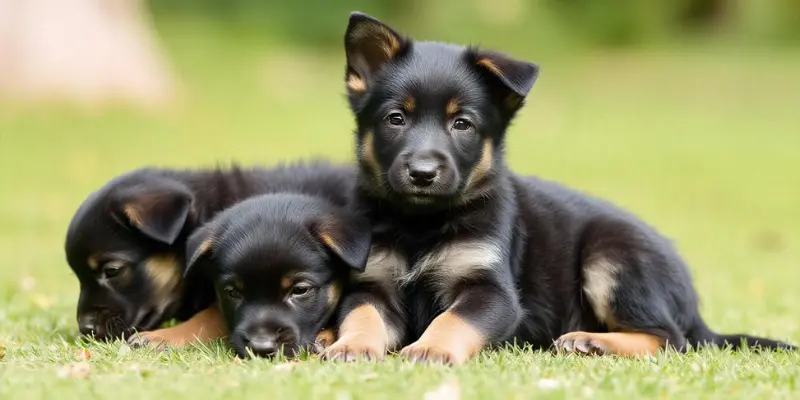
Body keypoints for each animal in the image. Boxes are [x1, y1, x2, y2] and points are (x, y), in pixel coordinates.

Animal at [320, 12, 792, 364]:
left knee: (670, 337)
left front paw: (431, 348)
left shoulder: (491, 291)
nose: (422, 173)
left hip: (612, 258)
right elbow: (362, 316)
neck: (422, 225)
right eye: (395, 119)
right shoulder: (373, 285)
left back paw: (592, 340)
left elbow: (453, 320)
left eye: (462, 124)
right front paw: (350, 344)